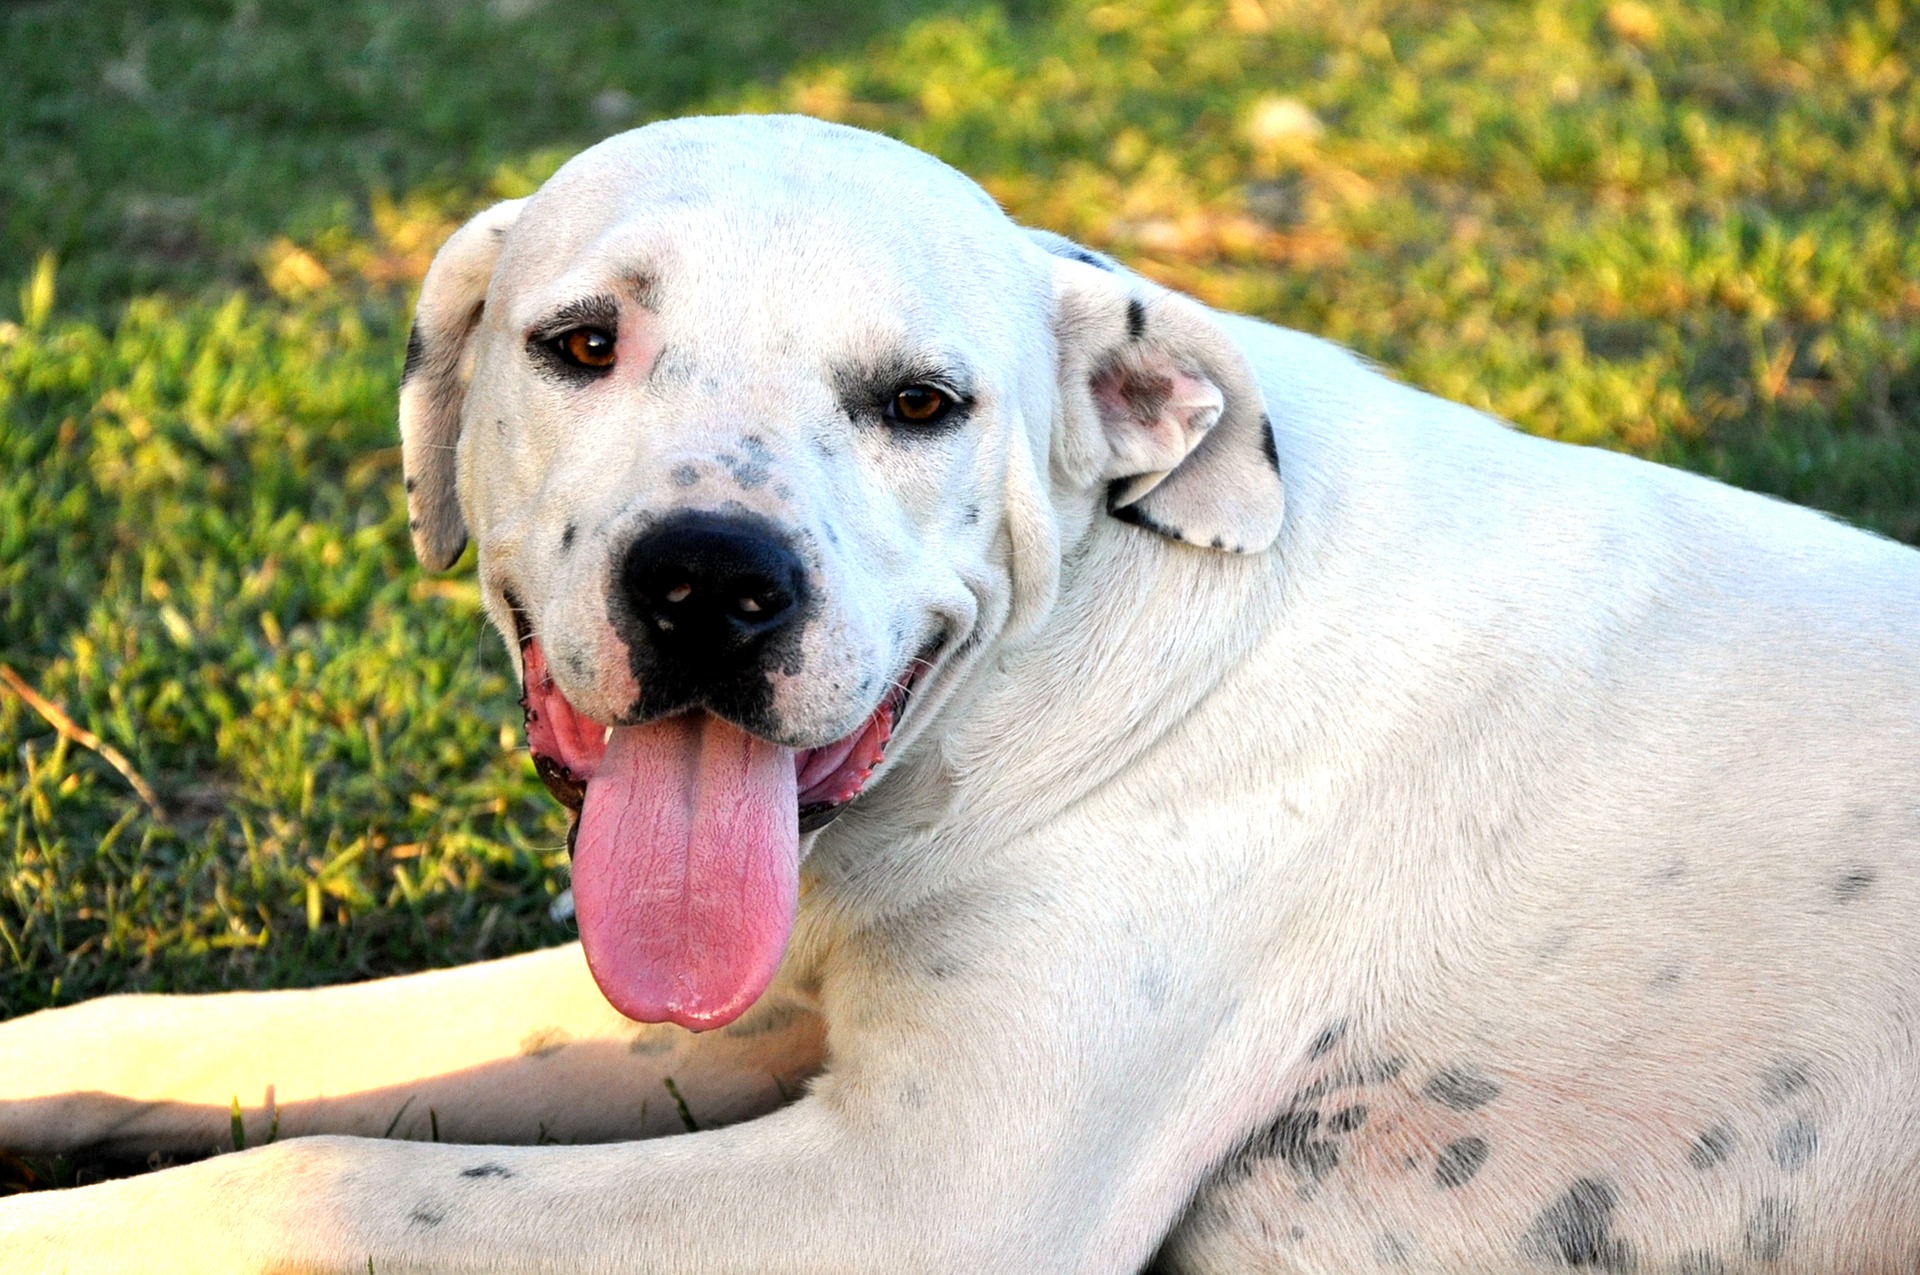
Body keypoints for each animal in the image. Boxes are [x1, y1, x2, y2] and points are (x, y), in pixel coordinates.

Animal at [3, 114, 1920, 1267]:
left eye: (920, 402)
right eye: (579, 344)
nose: (711, 582)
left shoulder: (913, 1195)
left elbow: (330, 1172)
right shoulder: (756, 995)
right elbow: (256, 1039)